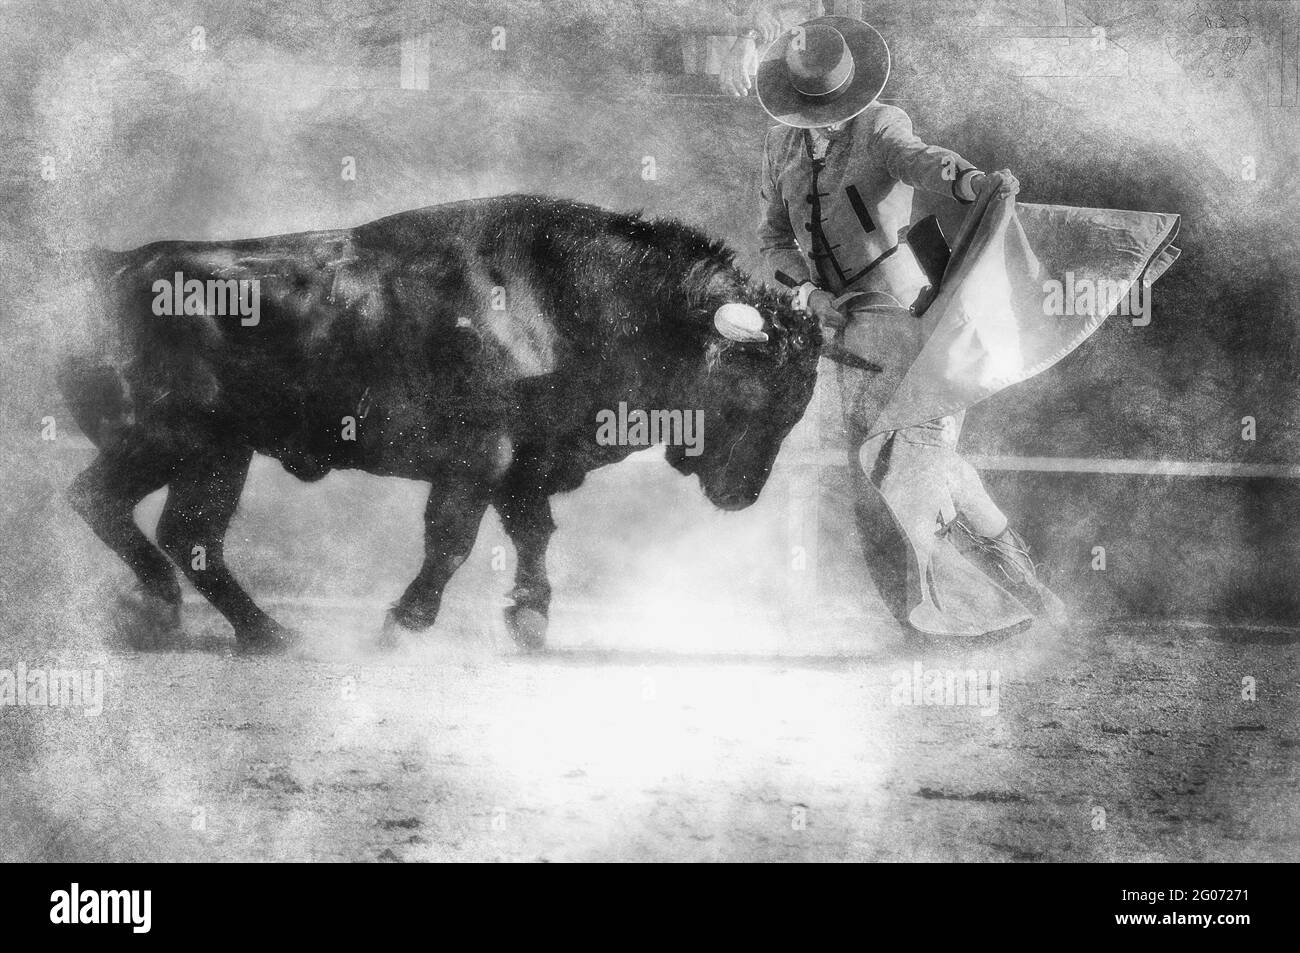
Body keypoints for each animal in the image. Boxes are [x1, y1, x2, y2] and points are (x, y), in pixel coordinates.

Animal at [61, 193, 821, 655]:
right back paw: (178, 613)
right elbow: (451, 541)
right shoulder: (477, 461)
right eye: (756, 387)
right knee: (114, 506)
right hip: (173, 445)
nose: (741, 495)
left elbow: (532, 534)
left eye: (800, 396)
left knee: (183, 533)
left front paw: (530, 618)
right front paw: (404, 623)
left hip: (219, 456)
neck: (564, 296)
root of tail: (117, 267)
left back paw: (257, 629)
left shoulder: (524, 468)